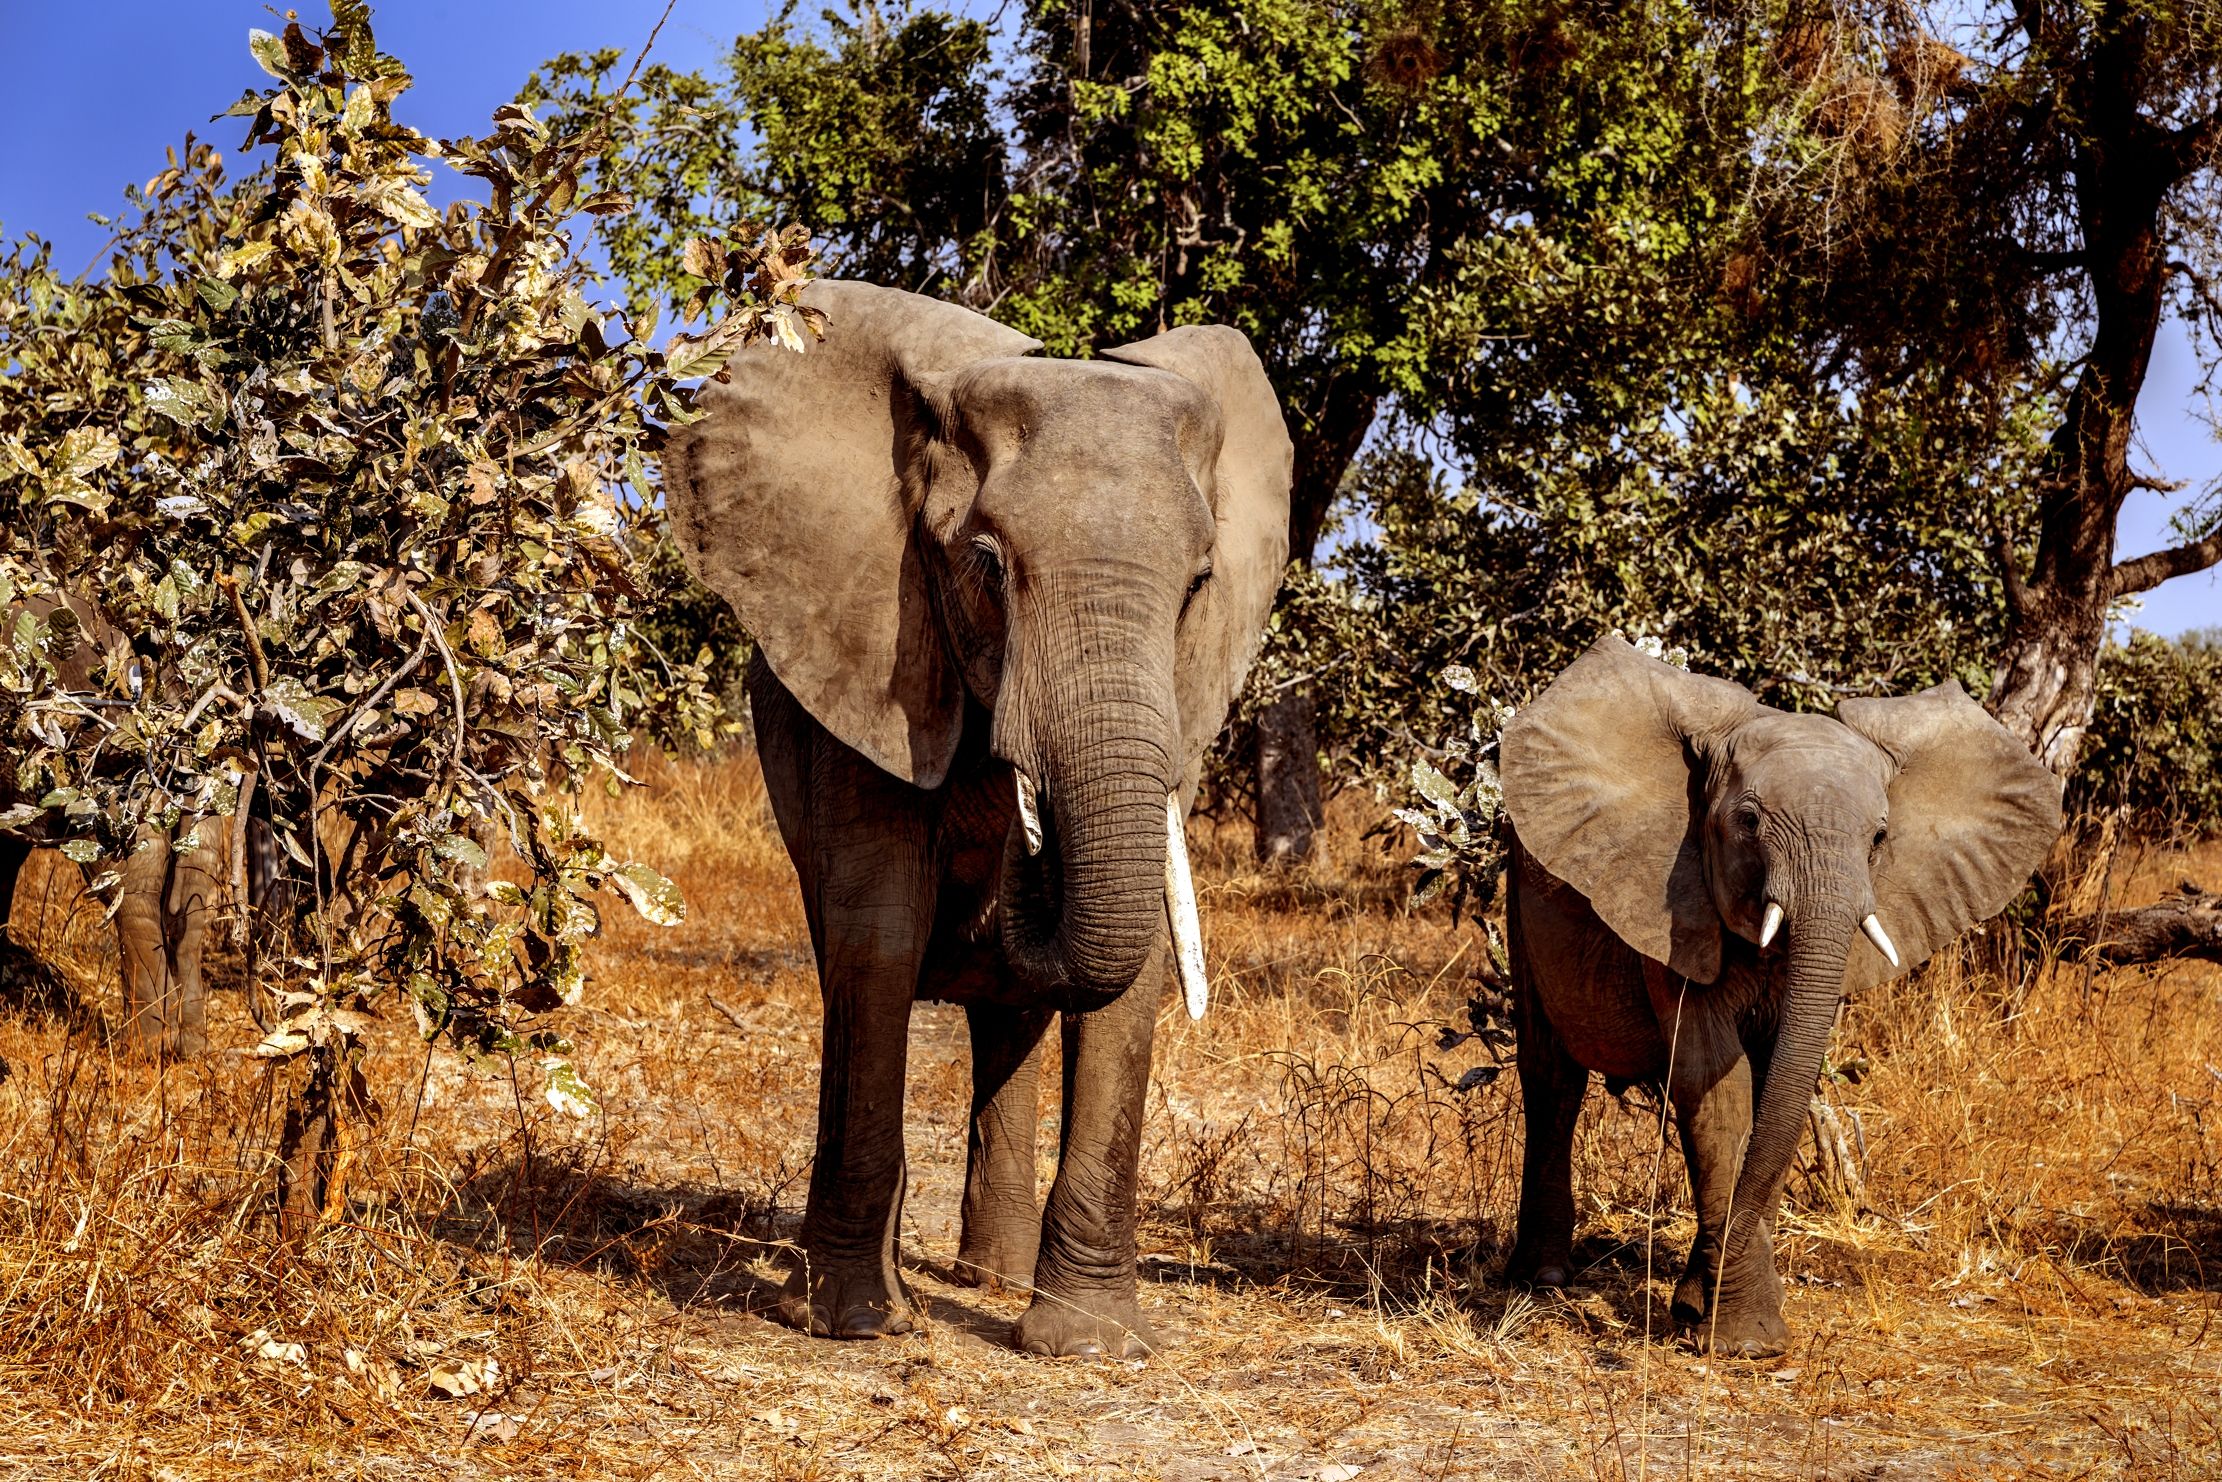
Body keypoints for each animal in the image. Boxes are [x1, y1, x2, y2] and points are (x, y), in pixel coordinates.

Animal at [661, 280, 1291, 1356]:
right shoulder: (869, 649)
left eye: (1199, 586)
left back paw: (986, 1278)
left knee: (1009, 1020)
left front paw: (1089, 1344)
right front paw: (854, 1324)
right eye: (987, 567)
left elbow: (1138, 965)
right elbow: (879, 931)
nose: (1024, 859)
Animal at [1498, 635, 2061, 1357]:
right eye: (1747, 822)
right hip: (1519, 885)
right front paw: (1737, 1338)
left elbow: (1777, 1087)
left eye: (1880, 837)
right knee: (1551, 1077)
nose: (1689, 1302)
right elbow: (1717, 1088)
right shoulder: (1676, 906)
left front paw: (1725, 1322)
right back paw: (1541, 1278)